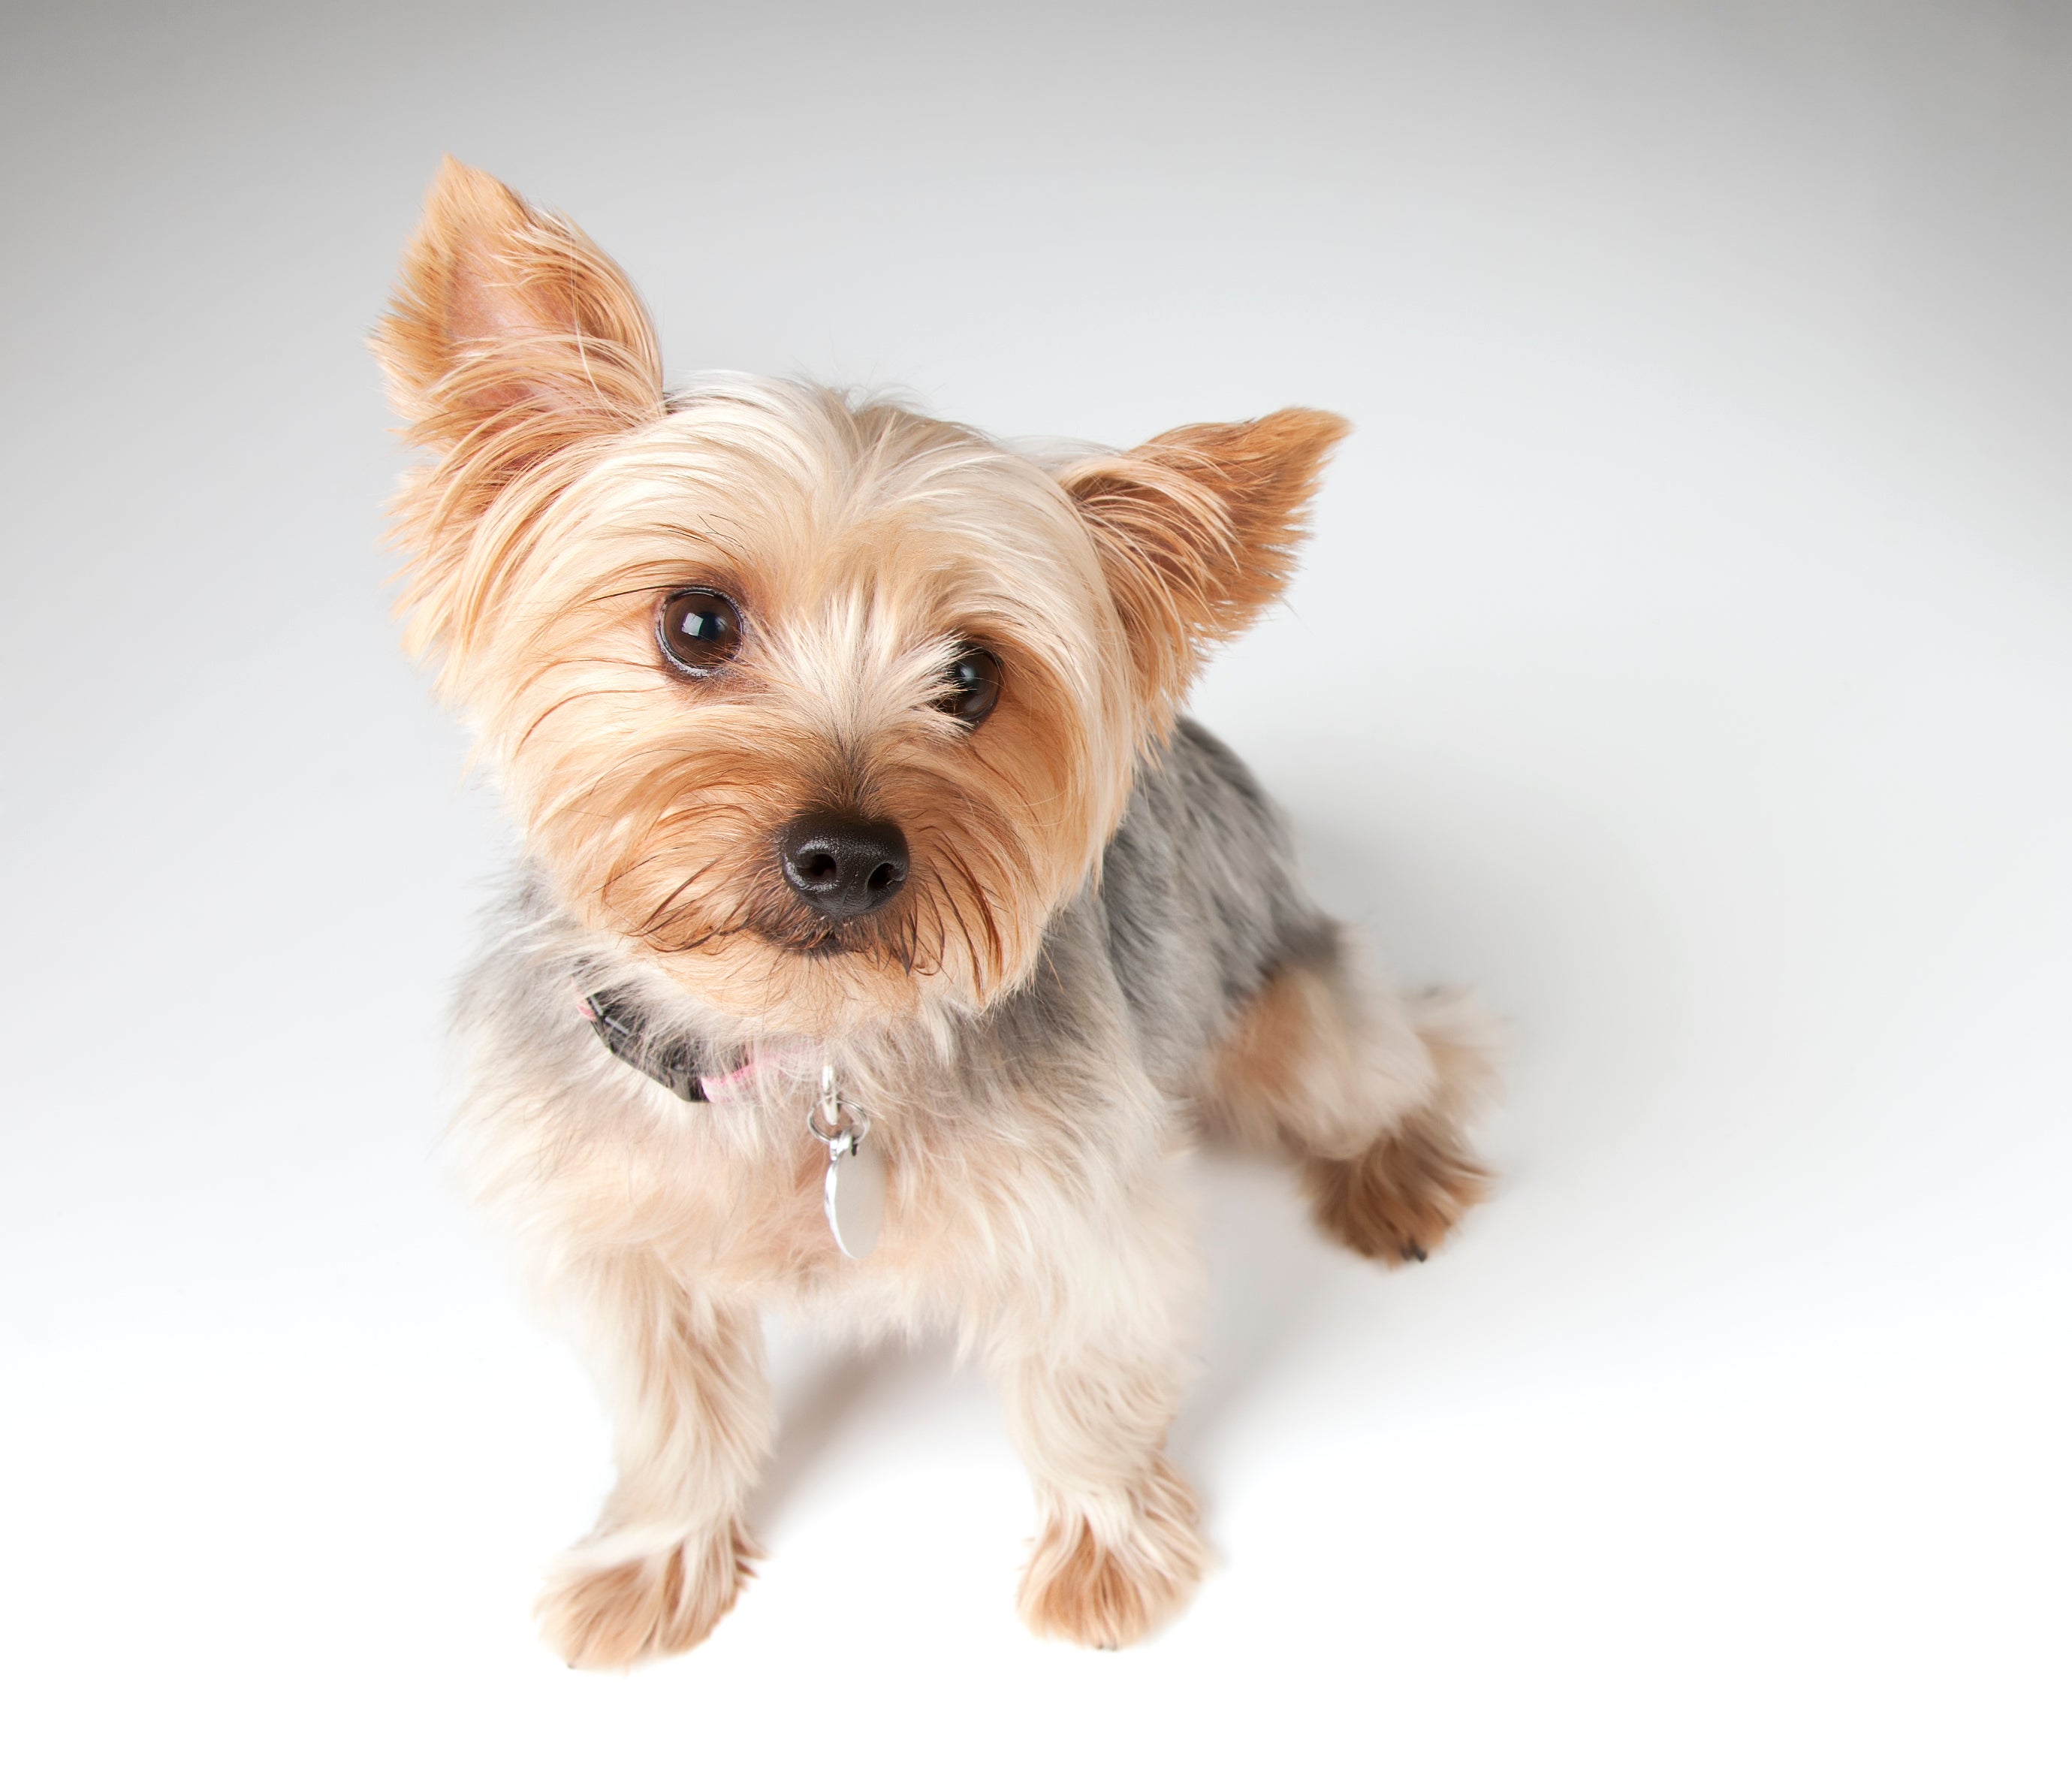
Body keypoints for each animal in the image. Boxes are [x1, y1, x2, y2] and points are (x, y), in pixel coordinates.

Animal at [377, 155, 1491, 1666]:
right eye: (696, 623)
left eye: (971, 675)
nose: (846, 854)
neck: (798, 1049)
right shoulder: (607, 1239)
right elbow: (670, 1409)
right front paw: (653, 1554)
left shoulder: (1089, 1211)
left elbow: (1088, 1384)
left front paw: (1105, 1551)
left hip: (1285, 1003)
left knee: (1394, 1059)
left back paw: (1395, 1170)